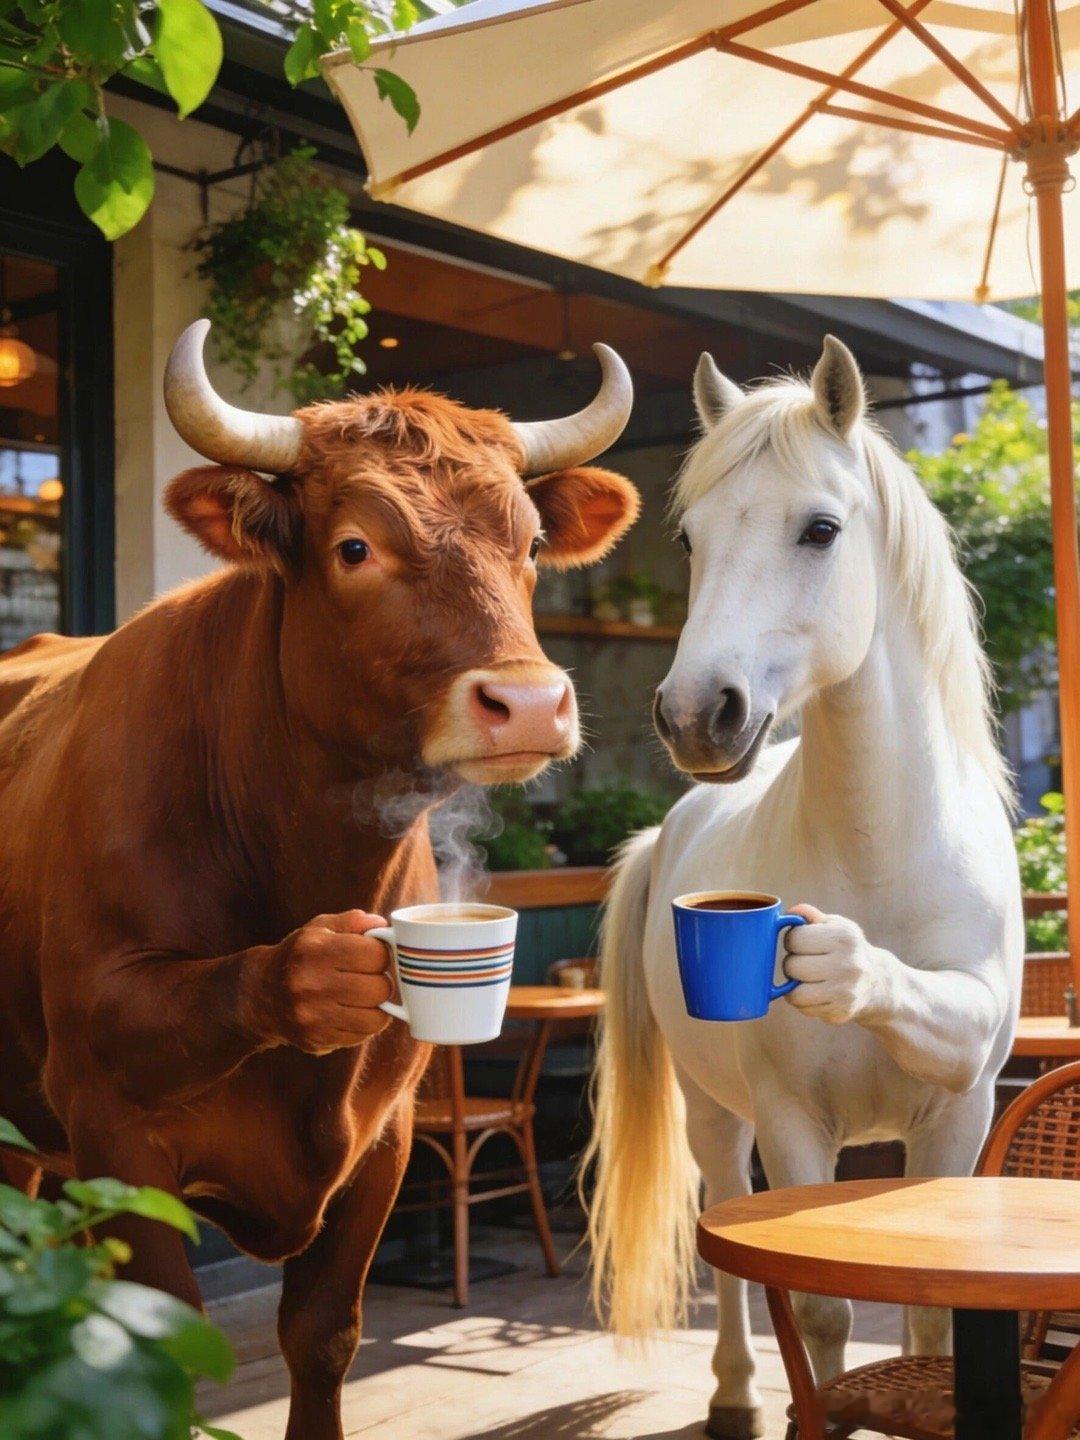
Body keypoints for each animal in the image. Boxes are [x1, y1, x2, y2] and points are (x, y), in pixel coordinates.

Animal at [585, 336, 1023, 1440]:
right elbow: (819, 1313)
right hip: (714, 1115)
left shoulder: (957, 1110)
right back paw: (735, 1393)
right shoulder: (790, 1125)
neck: (884, 853)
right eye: (688, 539)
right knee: (722, 1245)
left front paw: (849, 968)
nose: (696, 714)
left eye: (819, 529)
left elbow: (931, 1322)